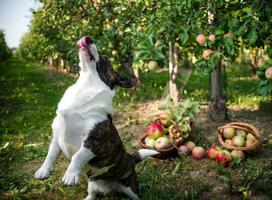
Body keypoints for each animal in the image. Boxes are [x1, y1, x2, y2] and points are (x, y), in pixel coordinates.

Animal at [34, 36, 158, 200]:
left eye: (104, 58)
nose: (87, 38)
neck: (87, 85)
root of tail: (130, 159)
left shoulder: (93, 143)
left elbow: (77, 157)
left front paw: (70, 175)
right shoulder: (56, 137)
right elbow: (50, 155)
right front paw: (43, 170)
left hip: (131, 187)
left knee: (135, 195)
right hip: (92, 183)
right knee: (92, 194)